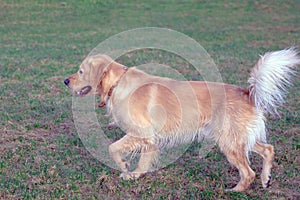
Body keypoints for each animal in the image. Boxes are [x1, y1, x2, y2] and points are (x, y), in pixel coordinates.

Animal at [64, 47, 298, 191]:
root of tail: (247, 92)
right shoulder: (150, 138)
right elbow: (144, 159)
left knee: (248, 172)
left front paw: (124, 166)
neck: (117, 84)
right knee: (268, 149)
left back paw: (235, 190)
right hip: (237, 138)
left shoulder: (141, 132)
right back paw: (265, 179)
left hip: (229, 142)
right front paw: (136, 174)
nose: (66, 81)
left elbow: (112, 148)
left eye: (81, 71)